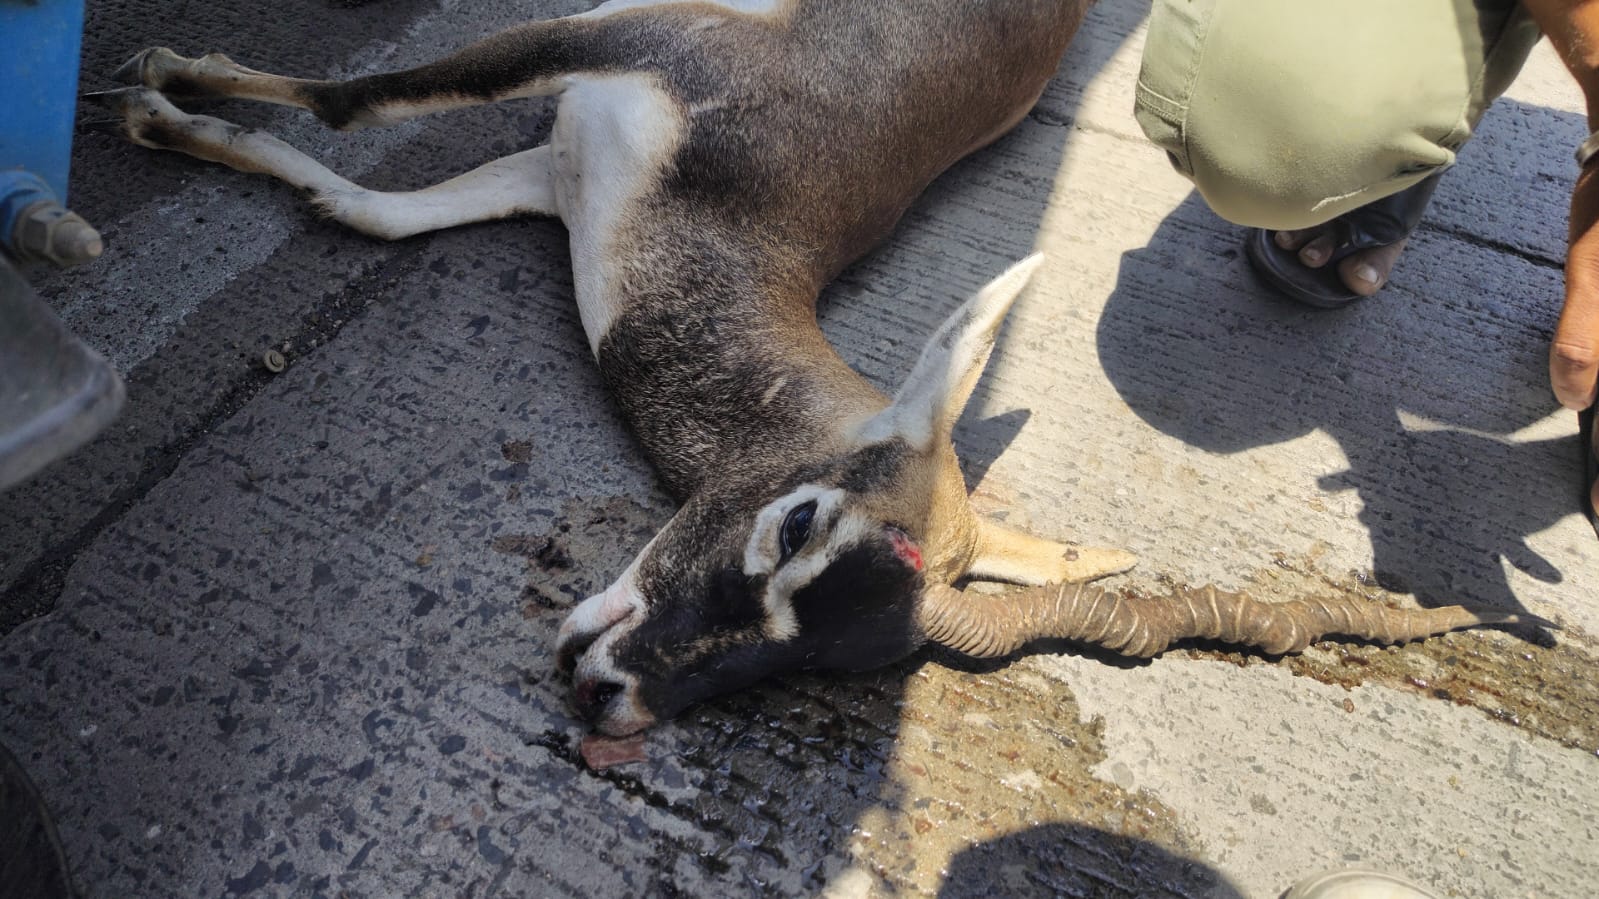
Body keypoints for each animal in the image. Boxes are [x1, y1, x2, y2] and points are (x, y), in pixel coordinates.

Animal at [93, 0, 1545, 738]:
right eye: (796, 524)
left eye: (840, 665)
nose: (614, 698)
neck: (739, 215)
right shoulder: (617, 46)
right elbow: (355, 102)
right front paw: (160, 73)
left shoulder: (554, 189)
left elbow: (359, 206)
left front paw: (166, 114)